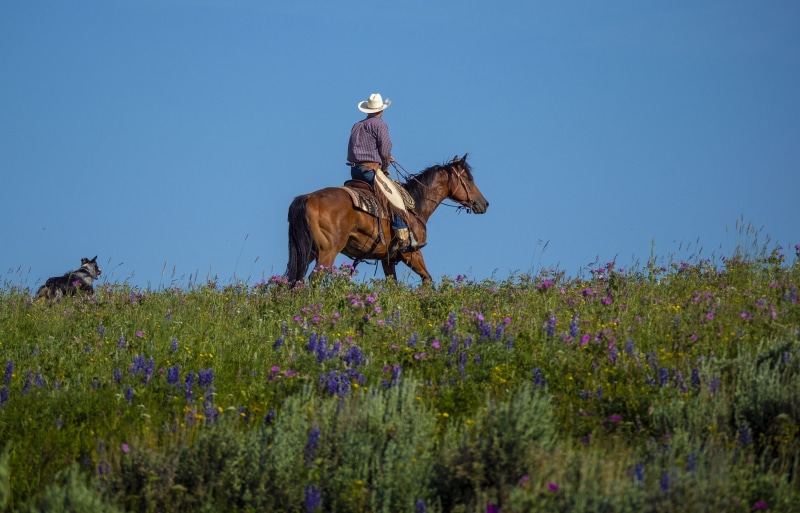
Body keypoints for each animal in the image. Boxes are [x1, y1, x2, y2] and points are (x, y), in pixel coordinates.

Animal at [285, 154, 489, 283]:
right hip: (328, 251)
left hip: (309, 251)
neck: (415, 205)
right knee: (313, 279)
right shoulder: (412, 253)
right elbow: (427, 279)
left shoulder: (387, 259)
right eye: (469, 179)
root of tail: (308, 197)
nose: (484, 204)